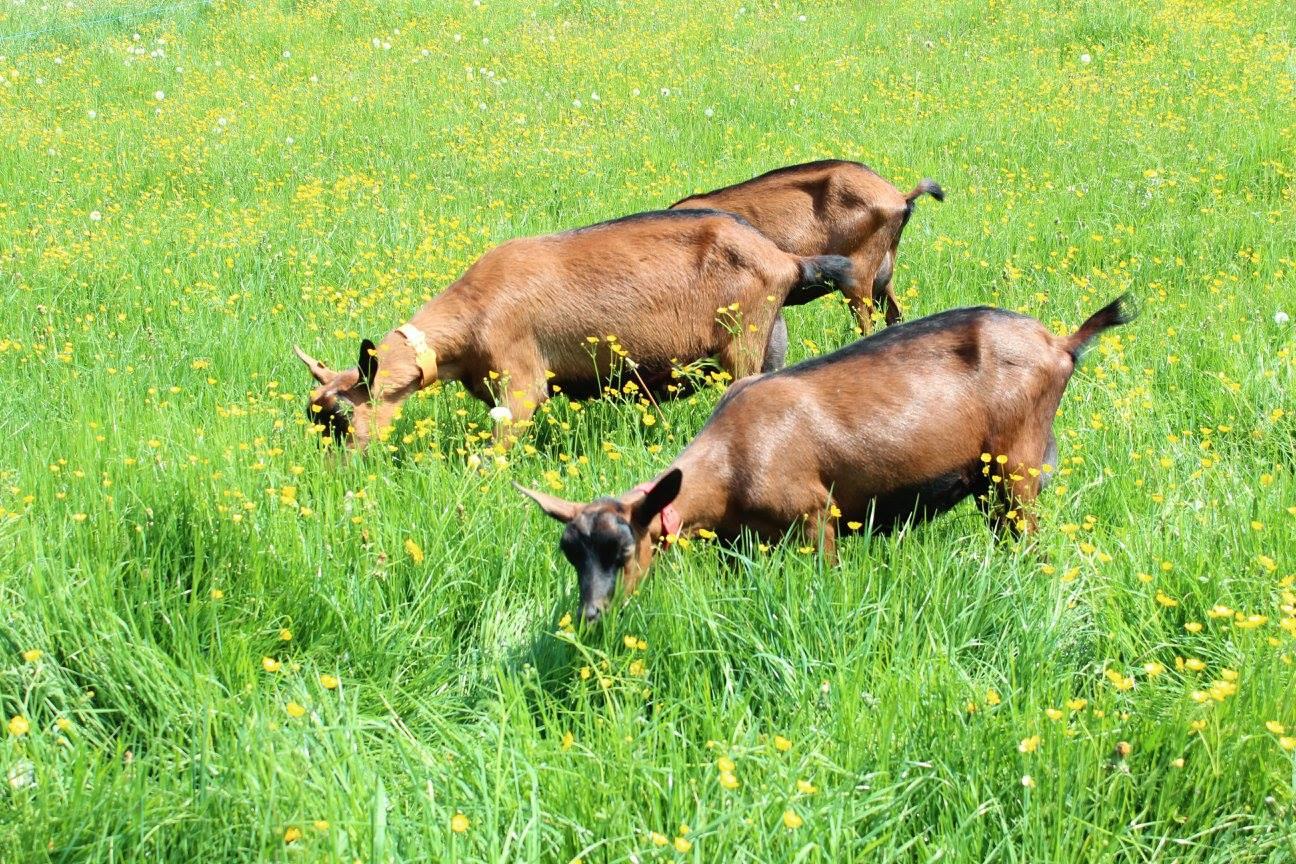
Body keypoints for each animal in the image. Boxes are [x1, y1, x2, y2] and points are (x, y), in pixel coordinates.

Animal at [298, 209, 855, 450]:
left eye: (343, 417)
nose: (339, 474)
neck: (474, 311)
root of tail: (786, 261)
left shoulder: (521, 382)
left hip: (743, 341)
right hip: (769, 340)